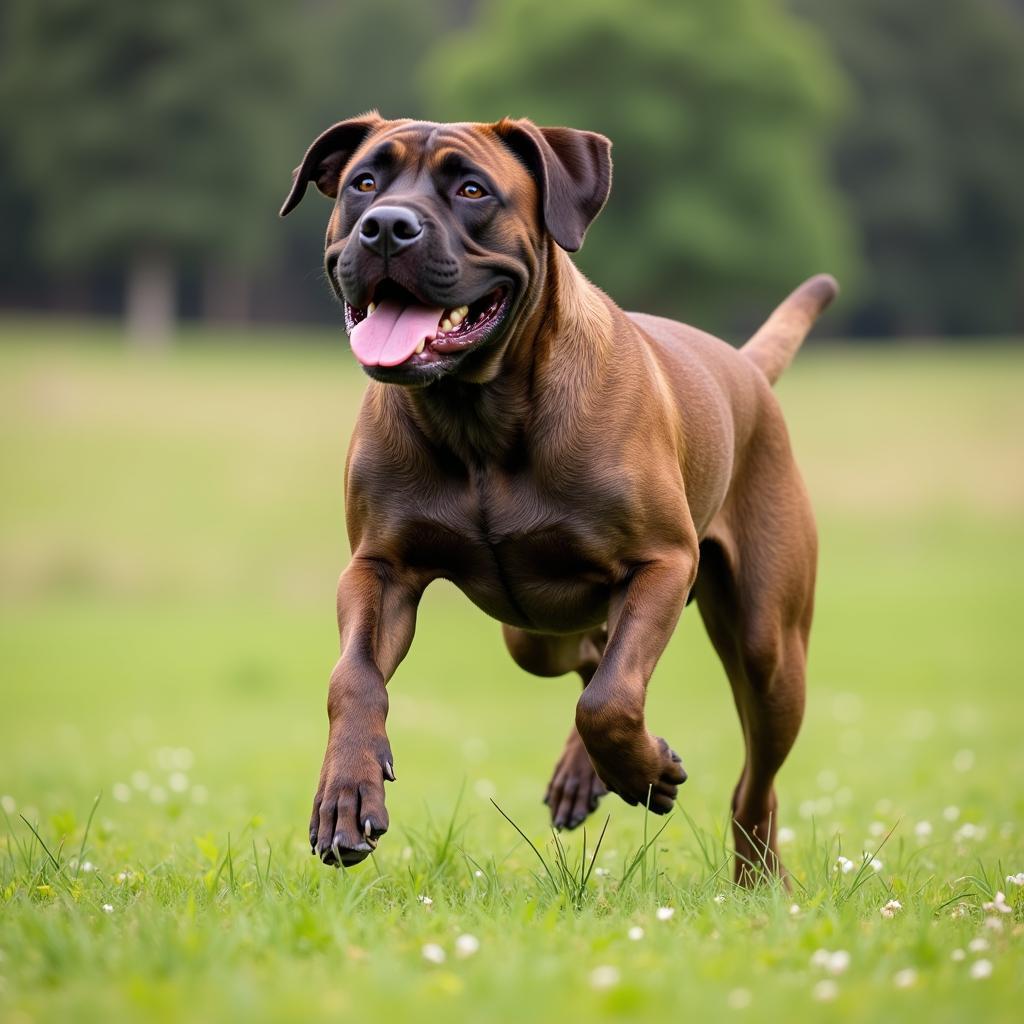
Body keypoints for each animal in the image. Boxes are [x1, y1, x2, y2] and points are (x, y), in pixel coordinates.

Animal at [282, 110, 839, 880]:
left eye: (472, 189)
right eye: (364, 182)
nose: (387, 227)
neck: (478, 417)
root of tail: (744, 366)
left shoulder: (661, 562)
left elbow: (611, 699)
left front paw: (645, 772)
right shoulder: (379, 568)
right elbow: (353, 678)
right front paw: (344, 794)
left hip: (770, 647)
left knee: (748, 772)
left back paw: (756, 873)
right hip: (531, 632)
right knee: (592, 650)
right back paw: (588, 772)